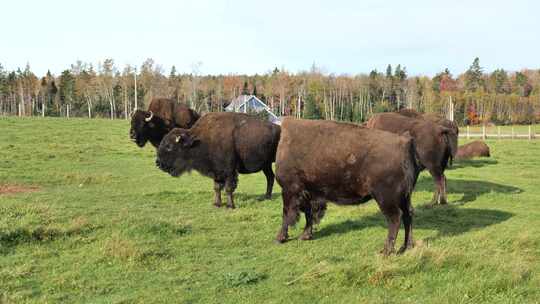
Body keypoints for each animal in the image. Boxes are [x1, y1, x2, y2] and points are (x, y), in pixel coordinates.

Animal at [274, 117, 422, 255]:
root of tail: (404, 142)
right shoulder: (309, 194)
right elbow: (308, 214)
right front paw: (305, 235)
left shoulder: (289, 190)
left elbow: (287, 213)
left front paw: (280, 238)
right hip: (404, 197)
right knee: (408, 214)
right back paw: (406, 246)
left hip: (386, 199)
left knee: (395, 218)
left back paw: (386, 251)